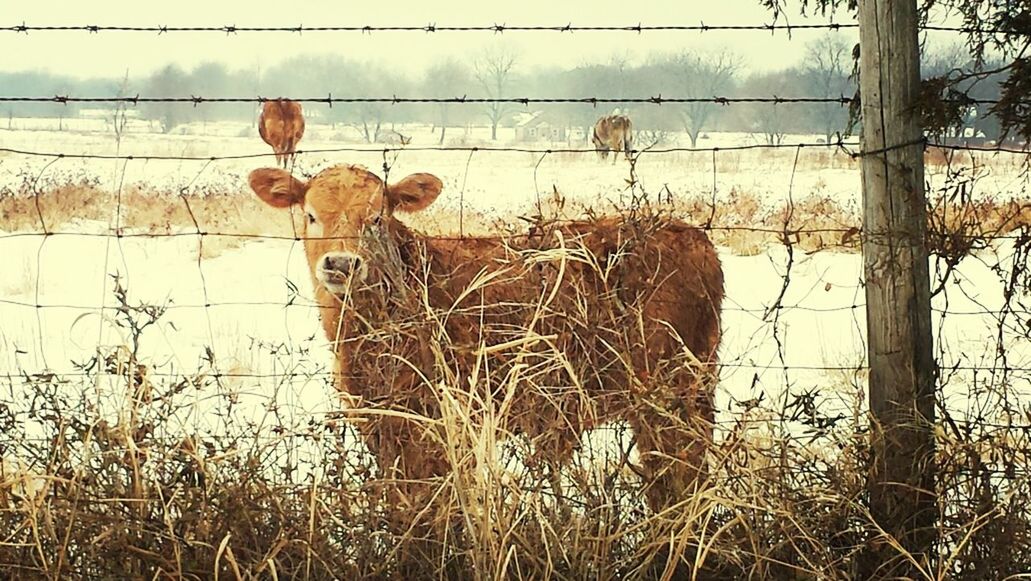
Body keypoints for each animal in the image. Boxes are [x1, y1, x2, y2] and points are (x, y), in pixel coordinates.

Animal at [245, 160, 721, 572]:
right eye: (310, 216)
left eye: (376, 218)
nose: (342, 263)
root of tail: (691, 235)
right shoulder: (385, 427)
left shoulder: (429, 427)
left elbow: (425, 514)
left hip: (671, 398)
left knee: (682, 480)